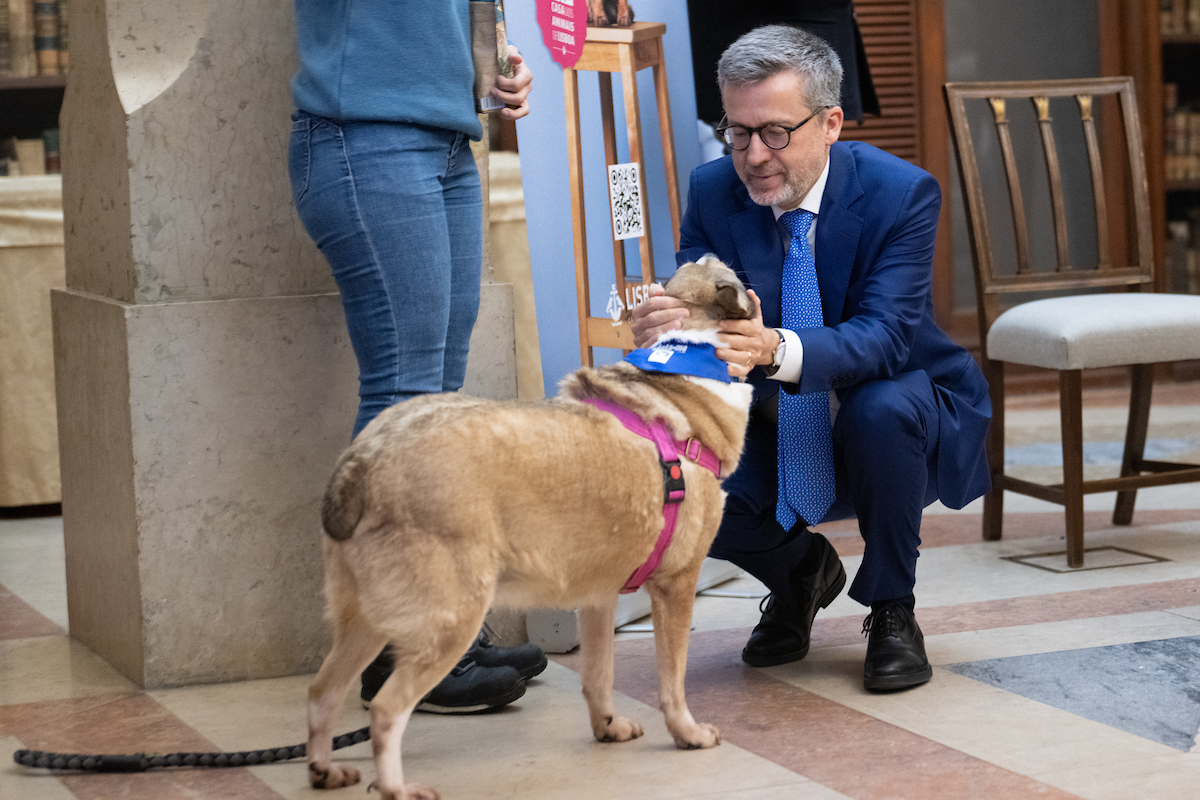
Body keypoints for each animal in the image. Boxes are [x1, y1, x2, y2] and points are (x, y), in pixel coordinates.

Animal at [307, 257, 748, 800]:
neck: (685, 363)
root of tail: (366, 456)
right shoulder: (677, 586)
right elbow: (673, 681)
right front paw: (686, 733)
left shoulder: (599, 598)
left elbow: (598, 675)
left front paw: (607, 727)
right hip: (451, 617)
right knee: (388, 709)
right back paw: (397, 789)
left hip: (365, 622)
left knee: (322, 693)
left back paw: (324, 770)